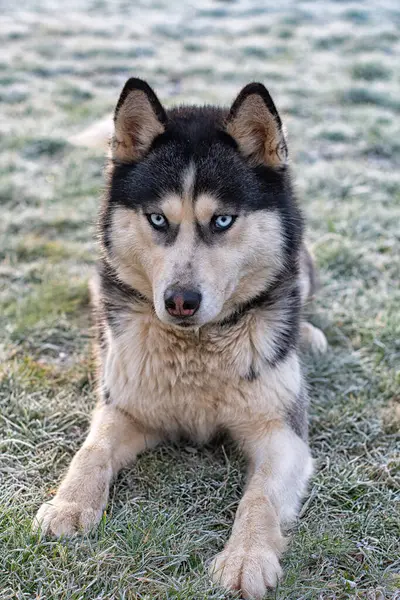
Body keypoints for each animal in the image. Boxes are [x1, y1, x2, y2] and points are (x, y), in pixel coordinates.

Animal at [34, 79, 328, 600]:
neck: (196, 351)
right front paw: (68, 505)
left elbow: (260, 498)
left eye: (223, 221)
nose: (180, 301)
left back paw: (308, 333)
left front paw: (246, 557)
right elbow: (91, 452)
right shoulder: (123, 406)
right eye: (157, 219)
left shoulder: (281, 433)